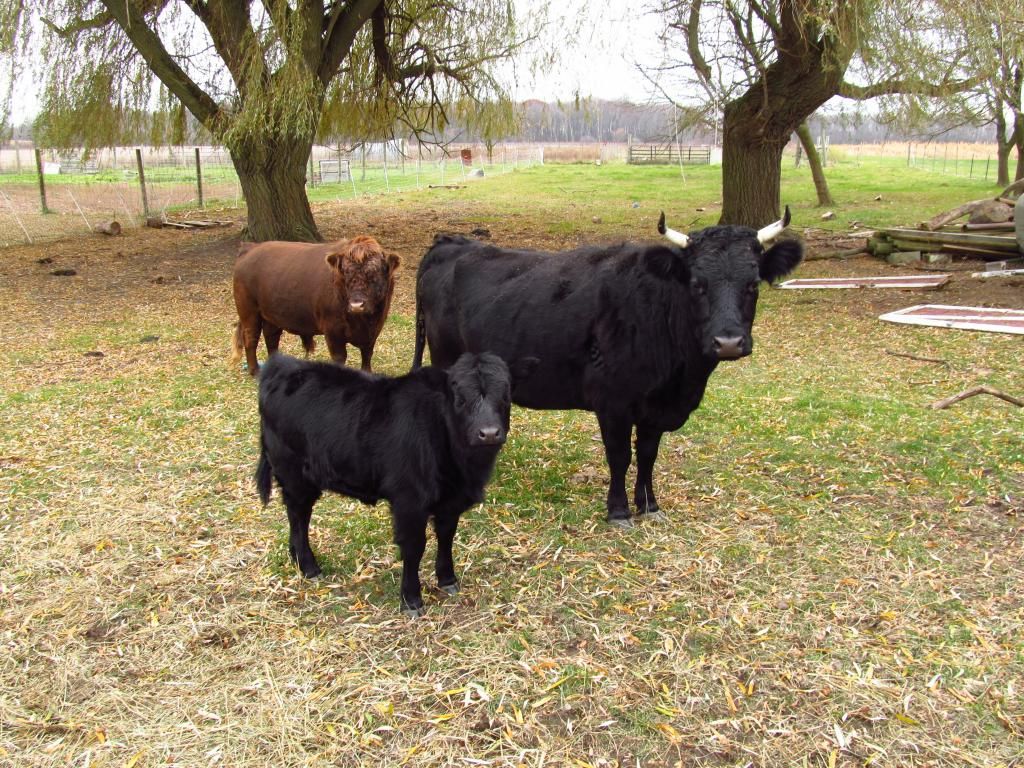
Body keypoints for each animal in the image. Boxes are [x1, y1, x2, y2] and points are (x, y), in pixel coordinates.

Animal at [231, 235, 400, 376]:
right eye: (345, 272)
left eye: (375, 273)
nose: (357, 305)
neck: (363, 321)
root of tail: (251, 247)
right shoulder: (333, 331)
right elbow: (340, 357)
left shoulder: (375, 329)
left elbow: (367, 355)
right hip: (249, 312)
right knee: (251, 338)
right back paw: (255, 371)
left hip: (271, 315)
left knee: (271, 337)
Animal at [255, 352, 538, 616]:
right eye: (460, 398)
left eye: (505, 394)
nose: (488, 433)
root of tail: (281, 365)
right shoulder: (409, 501)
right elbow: (414, 548)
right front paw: (411, 599)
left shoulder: (450, 500)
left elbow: (447, 536)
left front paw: (447, 579)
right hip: (294, 473)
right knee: (298, 516)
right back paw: (309, 566)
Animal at [412, 209, 803, 526]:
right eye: (697, 284)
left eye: (753, 284)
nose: (729, 342)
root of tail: (450, 243)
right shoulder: (613, 402)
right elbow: (620, 456)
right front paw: (618, 512)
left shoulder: (656, 408)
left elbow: (647, 455)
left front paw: (650, 506)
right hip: (447, 360)